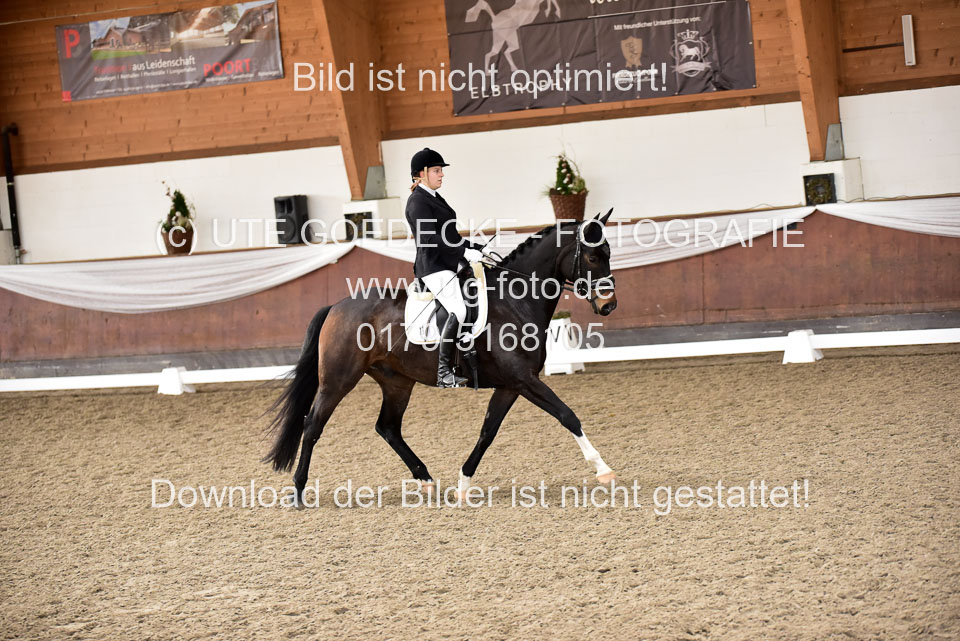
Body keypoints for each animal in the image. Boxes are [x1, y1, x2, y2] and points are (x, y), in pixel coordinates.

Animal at [264, 210, 618, 505]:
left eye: (609, 254)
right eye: (592, 255)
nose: (609, 305)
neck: (515, 300)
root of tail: (335, 307)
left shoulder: (511, 385)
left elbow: (487, 433)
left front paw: (463, 484)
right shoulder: (524, 380)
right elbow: (567, 415)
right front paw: (603, 469)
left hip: (397, 382)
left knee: (387, 427)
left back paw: (427, 480)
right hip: (338, 380)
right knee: (312, 424)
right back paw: (298, 492)